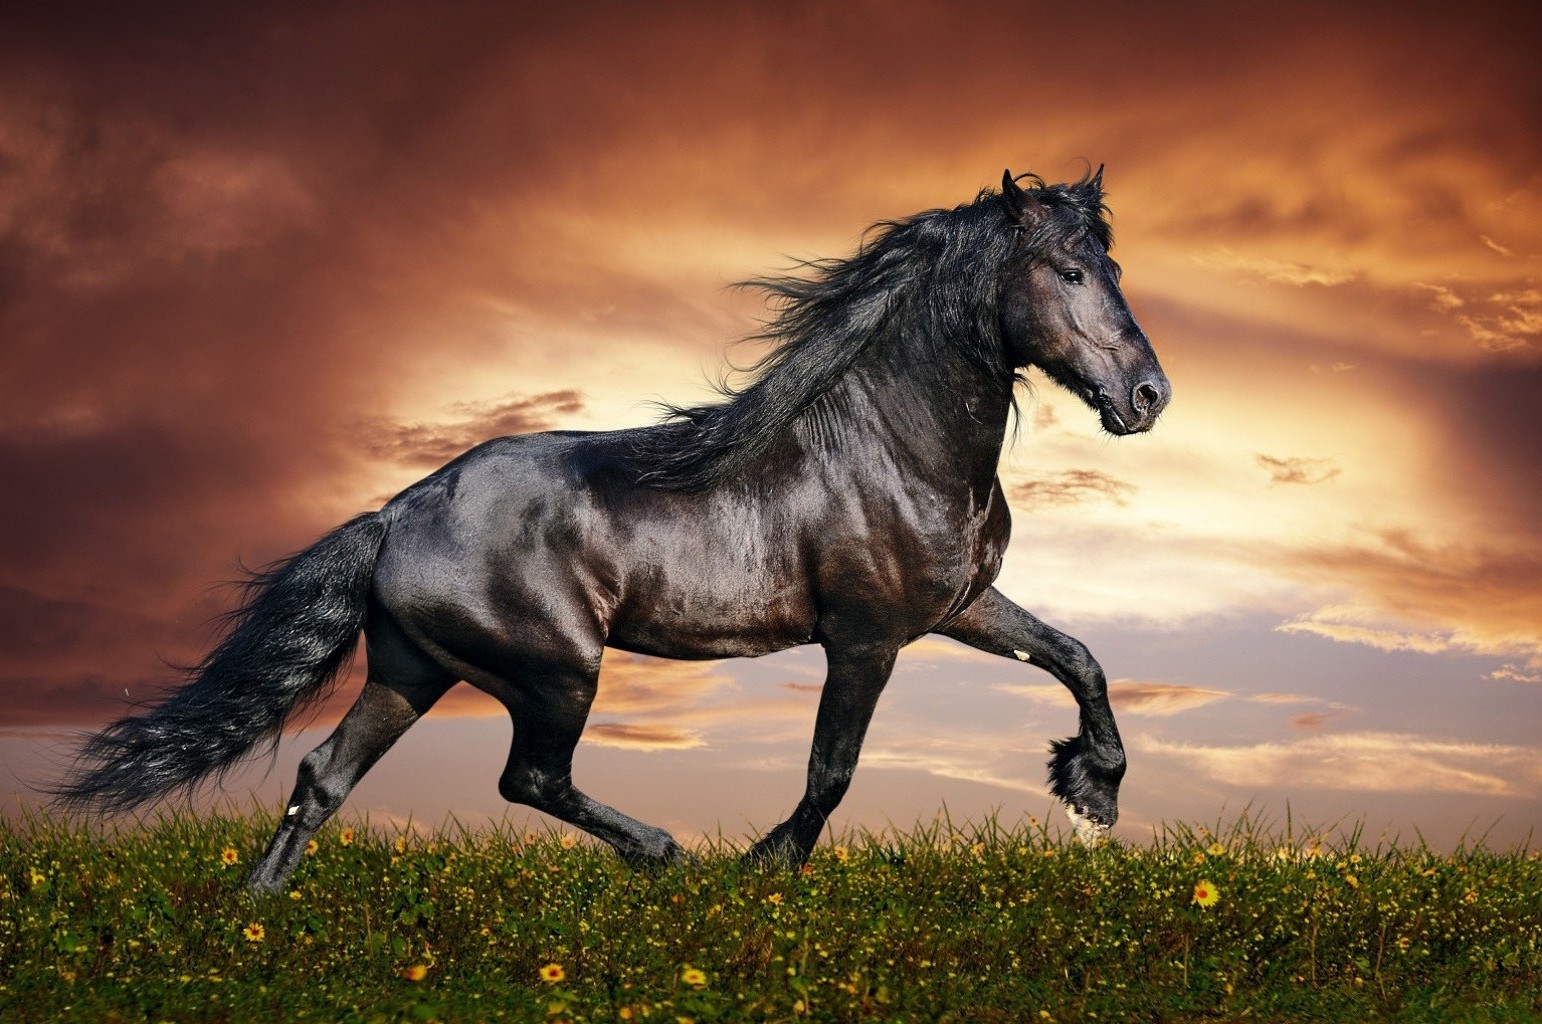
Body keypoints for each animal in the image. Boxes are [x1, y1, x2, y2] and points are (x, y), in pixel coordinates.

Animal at [57, 168, 1165, 888]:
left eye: (1111, 266)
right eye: (1068, 271)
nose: (1148, 397)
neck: (890, 444)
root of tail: (396, 514)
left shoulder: (960, 605)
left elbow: (1078, 656)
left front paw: (1093, 791)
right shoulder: (866, 637)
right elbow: (833, 768)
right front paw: (764, 868)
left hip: (413, 669)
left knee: (323, 778)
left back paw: (258, 919)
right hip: (556, 669)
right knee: (529, 777)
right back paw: (665, 853)